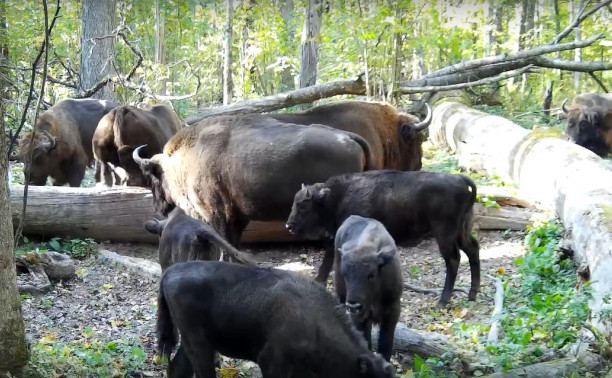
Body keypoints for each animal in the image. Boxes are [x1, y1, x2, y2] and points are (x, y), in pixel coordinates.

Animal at [133, 115, 372, 245]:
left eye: (153, 177)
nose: (158, 207)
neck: (185, 158)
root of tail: (349, 137)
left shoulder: (216, 214)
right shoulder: (237, 216)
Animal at [284, 171, 480, 308]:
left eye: (302, 205)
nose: (289, 225)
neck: (336, 198)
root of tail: (460, 180)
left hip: (445, 236)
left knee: (453, 259)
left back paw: (442, 302)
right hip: (461, 232)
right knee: (473, 249)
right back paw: (472, 295)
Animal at [332, 216, 404, 360]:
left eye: (371, 275)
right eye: (345, 274)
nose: (353, 305)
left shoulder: (392, 313)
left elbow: (385, 345)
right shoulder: (359, 317)